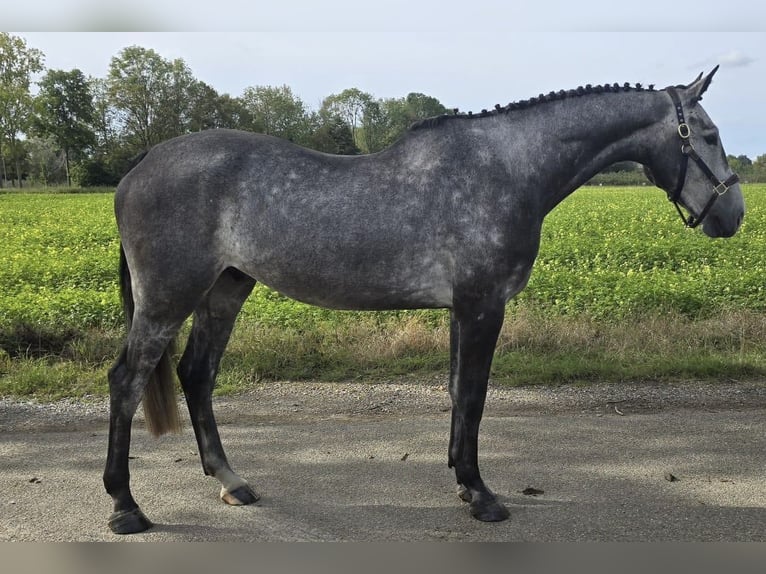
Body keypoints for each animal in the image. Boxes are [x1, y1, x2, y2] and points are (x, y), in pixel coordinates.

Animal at [103, 68, 744, 536]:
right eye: (710, 136)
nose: (732, 216)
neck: (507, 169)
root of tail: (140, 164)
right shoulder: (483, 306)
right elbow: (474, 396)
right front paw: (483, 497)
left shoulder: (464, 310)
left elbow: (460, 394)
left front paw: (464, 482)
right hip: (167, 299)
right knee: (127, 382)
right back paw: (126, 508)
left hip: (226, 288)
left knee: (197, 374)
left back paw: (232, 482)